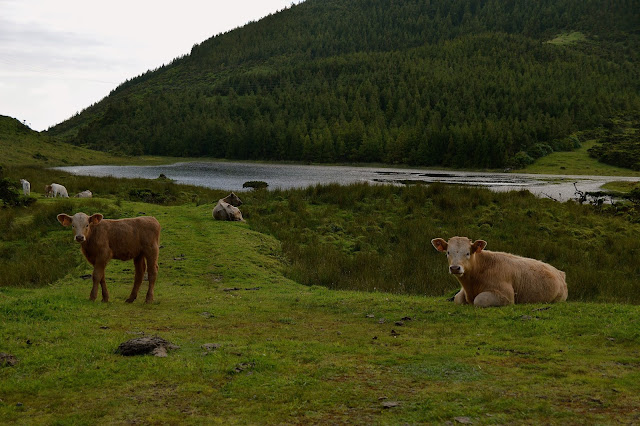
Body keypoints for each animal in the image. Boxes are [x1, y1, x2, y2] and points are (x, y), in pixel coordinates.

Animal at [431, 236, 567, 307]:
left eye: (468, 253)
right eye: (448, 252)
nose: (455, 268)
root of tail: (560, 272)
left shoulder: (506, 295)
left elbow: (479, 300)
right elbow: (457, 299)